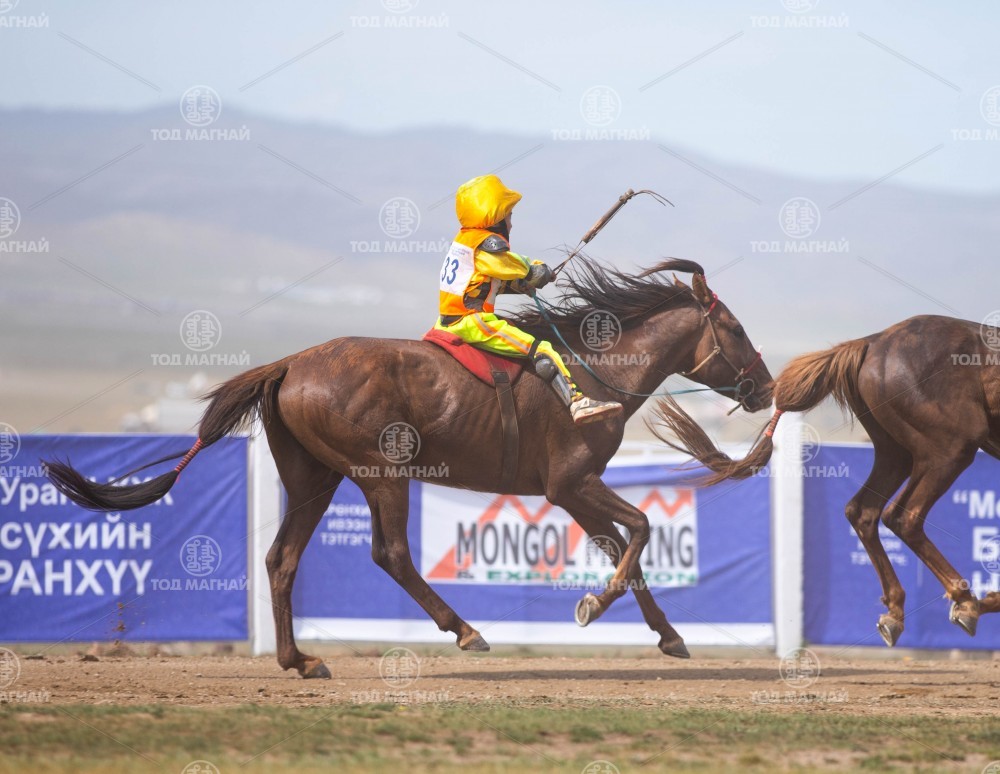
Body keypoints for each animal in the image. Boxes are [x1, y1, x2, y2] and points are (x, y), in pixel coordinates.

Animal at [46, 257, 774, 678]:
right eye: (737, 329)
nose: (766, 389)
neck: (595, 373)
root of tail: (290, 363)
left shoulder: (573, 491)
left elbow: (628, 546)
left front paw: (669, 636)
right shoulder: (570, 482)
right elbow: (641, 531)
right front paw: (593, 606)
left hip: (313, 478)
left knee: (282, 559)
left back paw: (299, 660)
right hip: (379, 472)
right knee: (390, 553)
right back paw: (465, 631)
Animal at [658, 313, 1000, 647]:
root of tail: (872, 342)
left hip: (897, 453)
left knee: (864, 511)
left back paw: (898, 611)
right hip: (951, 448)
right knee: (904, 516)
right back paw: (968, 603)